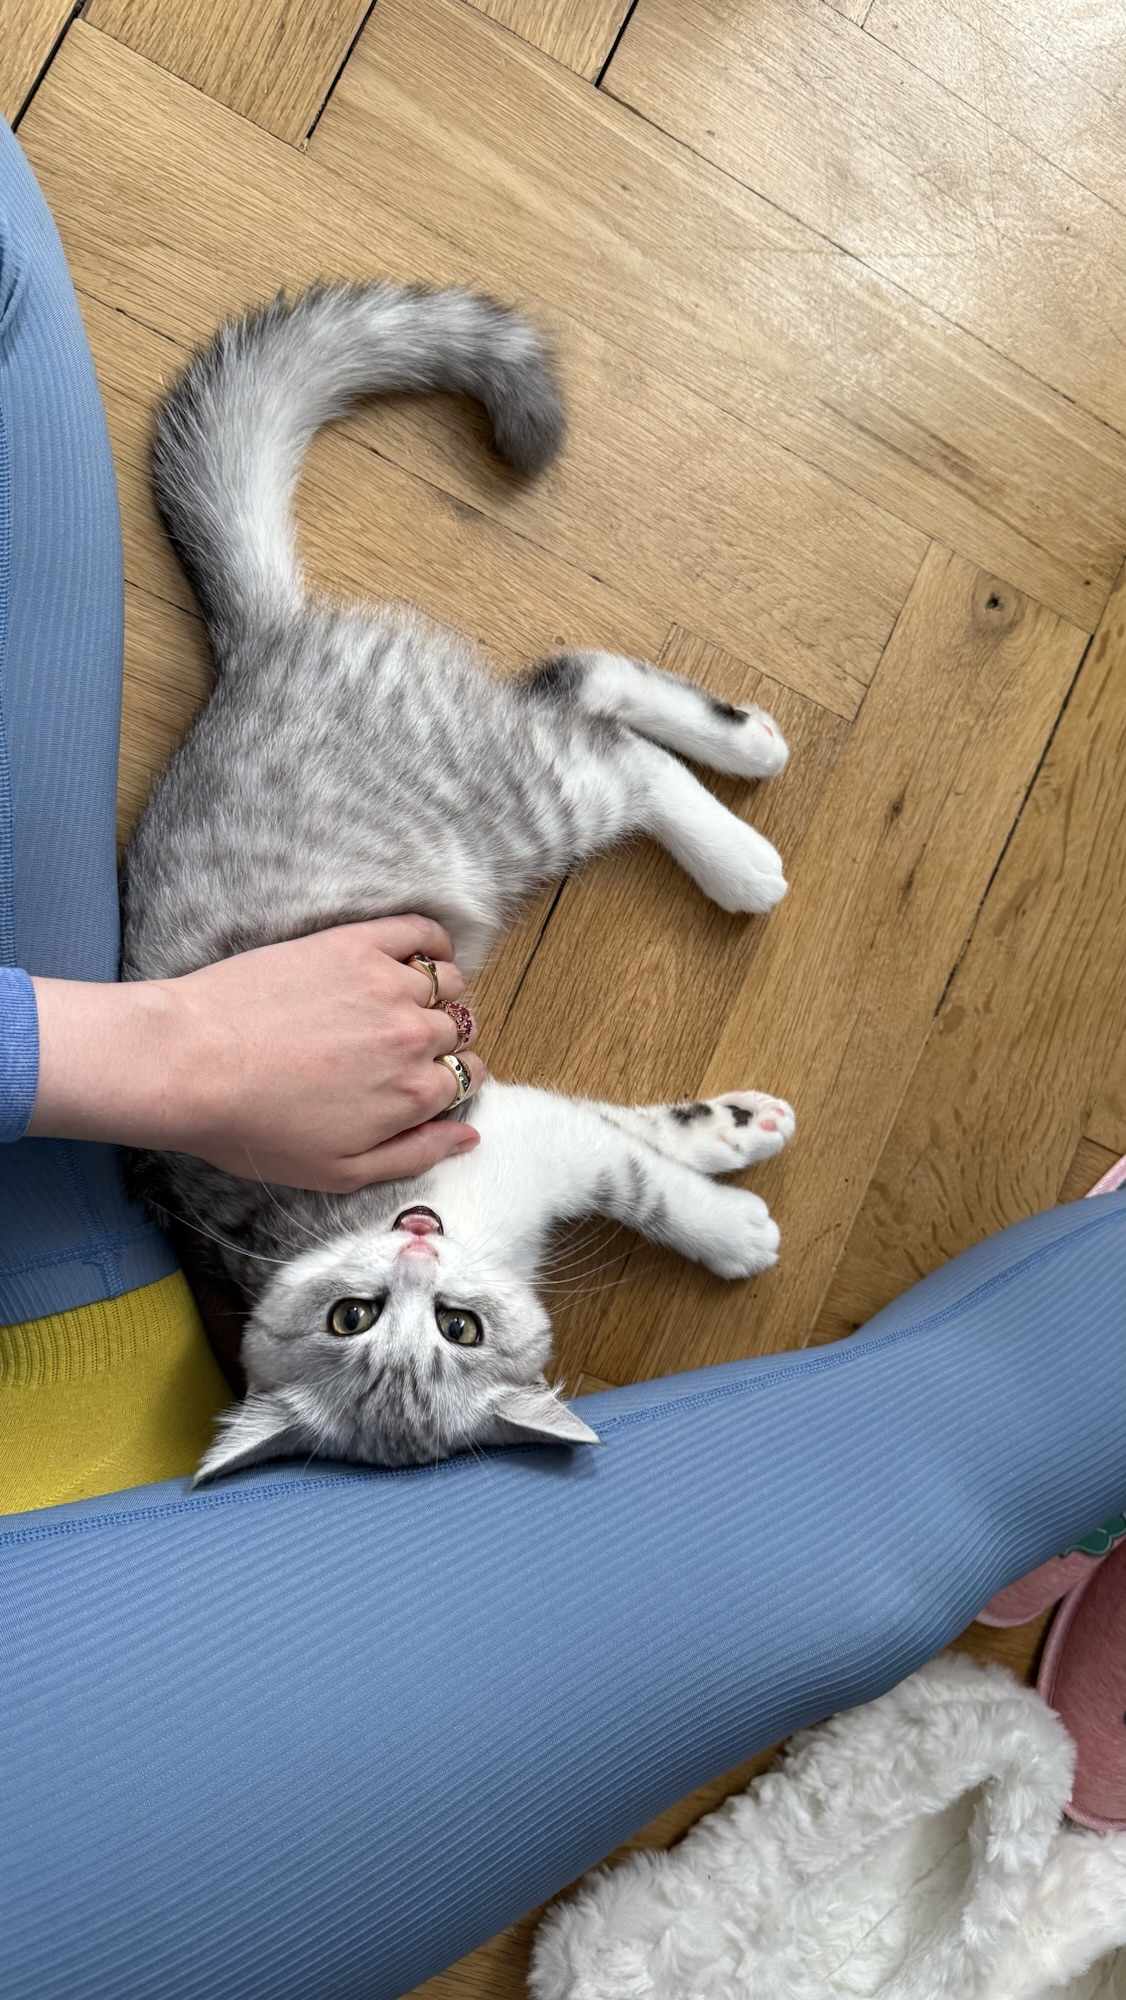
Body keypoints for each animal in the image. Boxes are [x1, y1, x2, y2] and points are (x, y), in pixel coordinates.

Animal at [121, 281, 796, 1480]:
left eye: (454, 1327)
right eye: (353, 1322)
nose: (419, 1249)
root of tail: (258, 648)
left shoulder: (514, 1126)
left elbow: (648, 1187)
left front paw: (718, 1217)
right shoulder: (524, 1114)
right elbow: (638, 1143)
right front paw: (730, 1146)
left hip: (509, 806)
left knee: (604, 726)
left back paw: (737, 827)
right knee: (578, 692)